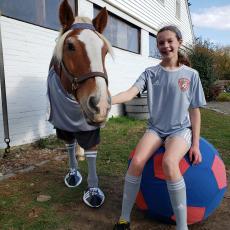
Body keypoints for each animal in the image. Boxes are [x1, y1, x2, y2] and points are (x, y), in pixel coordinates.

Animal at [47, 0, 113, 208]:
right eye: (70, 46)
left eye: (104, 50)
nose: (100, 104)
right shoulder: (62, 124)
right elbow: (69, 146)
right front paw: (73, 175)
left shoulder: (91, 127)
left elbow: (91, 152)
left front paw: (93, 192)